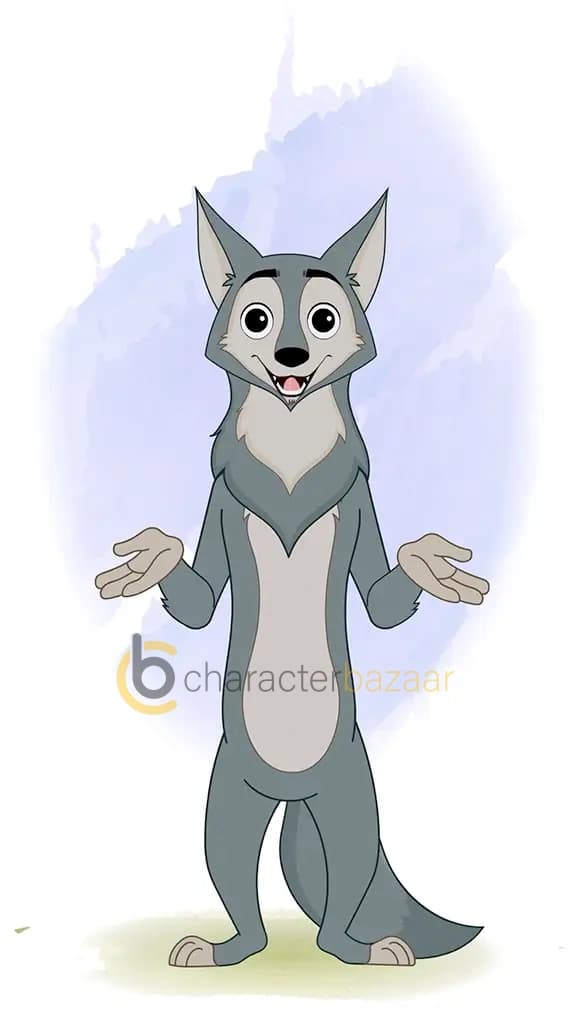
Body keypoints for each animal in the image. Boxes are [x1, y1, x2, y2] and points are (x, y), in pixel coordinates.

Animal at [95, 190, 490, 968]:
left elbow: (381, 604)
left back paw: (361, 950)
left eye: (323, 318)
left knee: (346, 878)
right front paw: (152, 557)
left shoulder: (360, 503)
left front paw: (428, 564)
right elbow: (198, 603)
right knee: (229, 864)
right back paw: (226, 949)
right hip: (231, 790)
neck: (289, 442)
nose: (291, 356)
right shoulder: (220, 504)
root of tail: (292, 791)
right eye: (256, 317)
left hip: (348, 792)